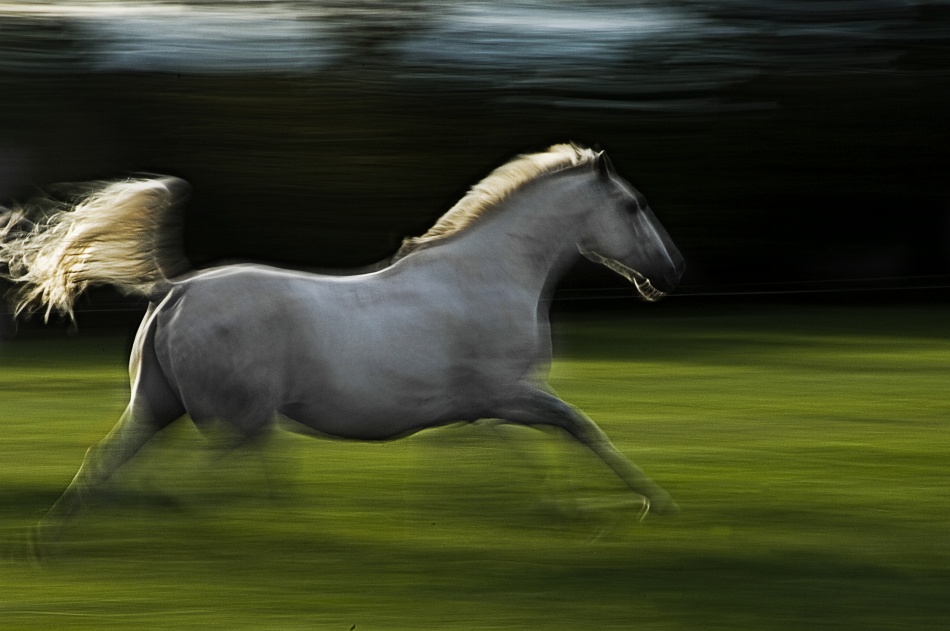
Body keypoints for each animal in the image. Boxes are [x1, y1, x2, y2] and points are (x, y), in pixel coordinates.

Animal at [0, 144, 685, 547]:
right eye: (634, 205)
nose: (672, 272)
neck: (487, 275)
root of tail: (176, 289)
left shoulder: (484, 407)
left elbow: (529, 447)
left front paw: (569, 510)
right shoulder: (511, 393)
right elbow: (580, 428)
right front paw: (646, 505)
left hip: (160, 406)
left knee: (113, 462)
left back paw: (52, 540)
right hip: (235, 415)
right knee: (201, 474)